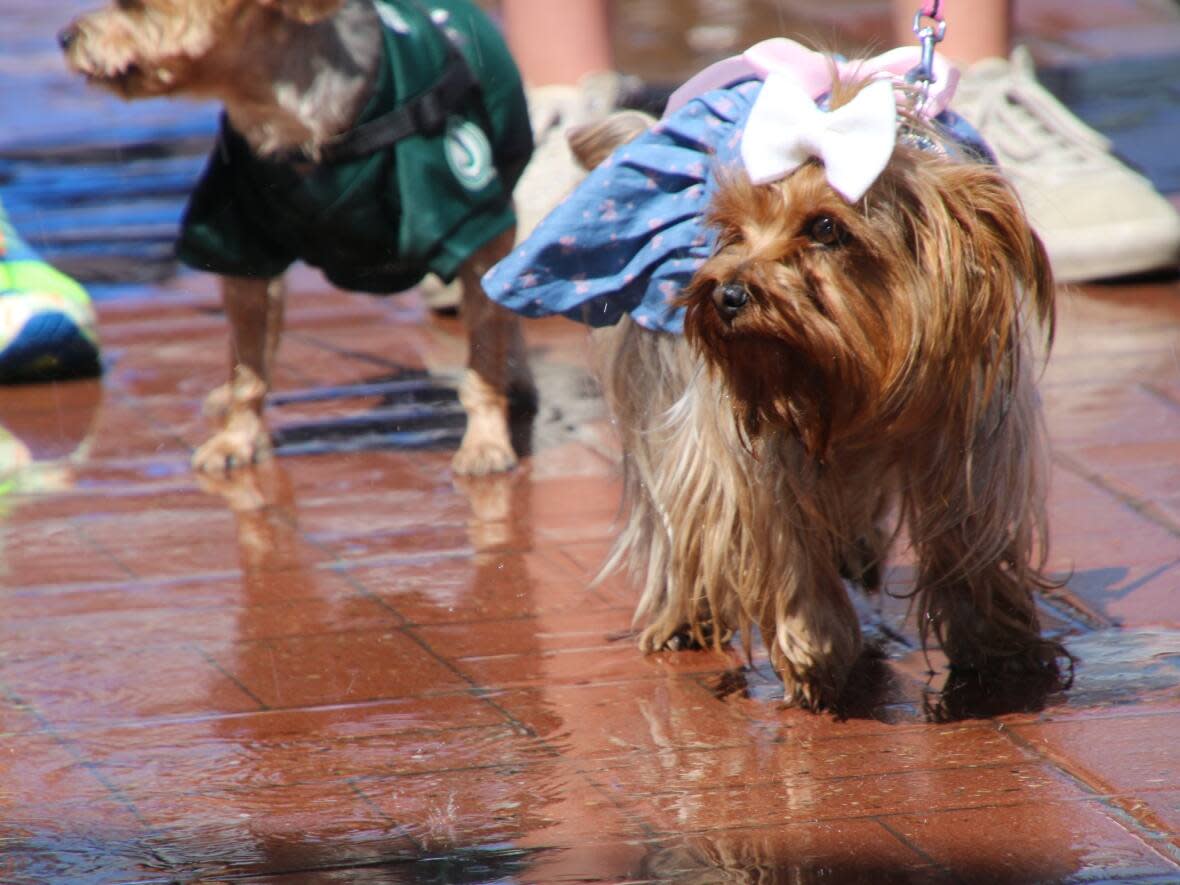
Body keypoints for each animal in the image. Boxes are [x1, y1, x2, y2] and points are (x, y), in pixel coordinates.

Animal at [59, 0, 531, 479]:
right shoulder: (238, 241)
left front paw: (486, 440)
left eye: (136, 6)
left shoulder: (469, 222)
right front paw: (236, 438)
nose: (65, 37)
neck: (282, 112)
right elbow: (248, 369)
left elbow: (484, 353)